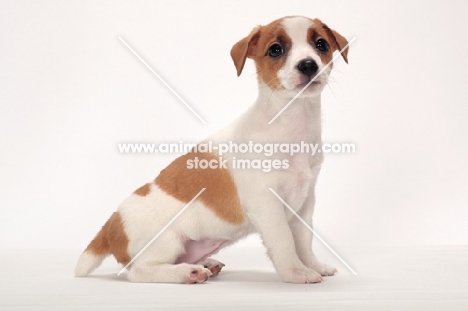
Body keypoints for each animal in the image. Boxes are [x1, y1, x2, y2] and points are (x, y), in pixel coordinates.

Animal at [76, 16, 348, 286]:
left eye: (321, 44)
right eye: (276, 50)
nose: (309, 65)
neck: (293, 122)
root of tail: (112, 223)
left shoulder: (304, 203)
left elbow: (303, 241)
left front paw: (313, 265)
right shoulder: (267, 204)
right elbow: (284, 242)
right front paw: (296, 273)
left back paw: (205, 264)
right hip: (167, 241)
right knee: (139, 271)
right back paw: (188, 273)